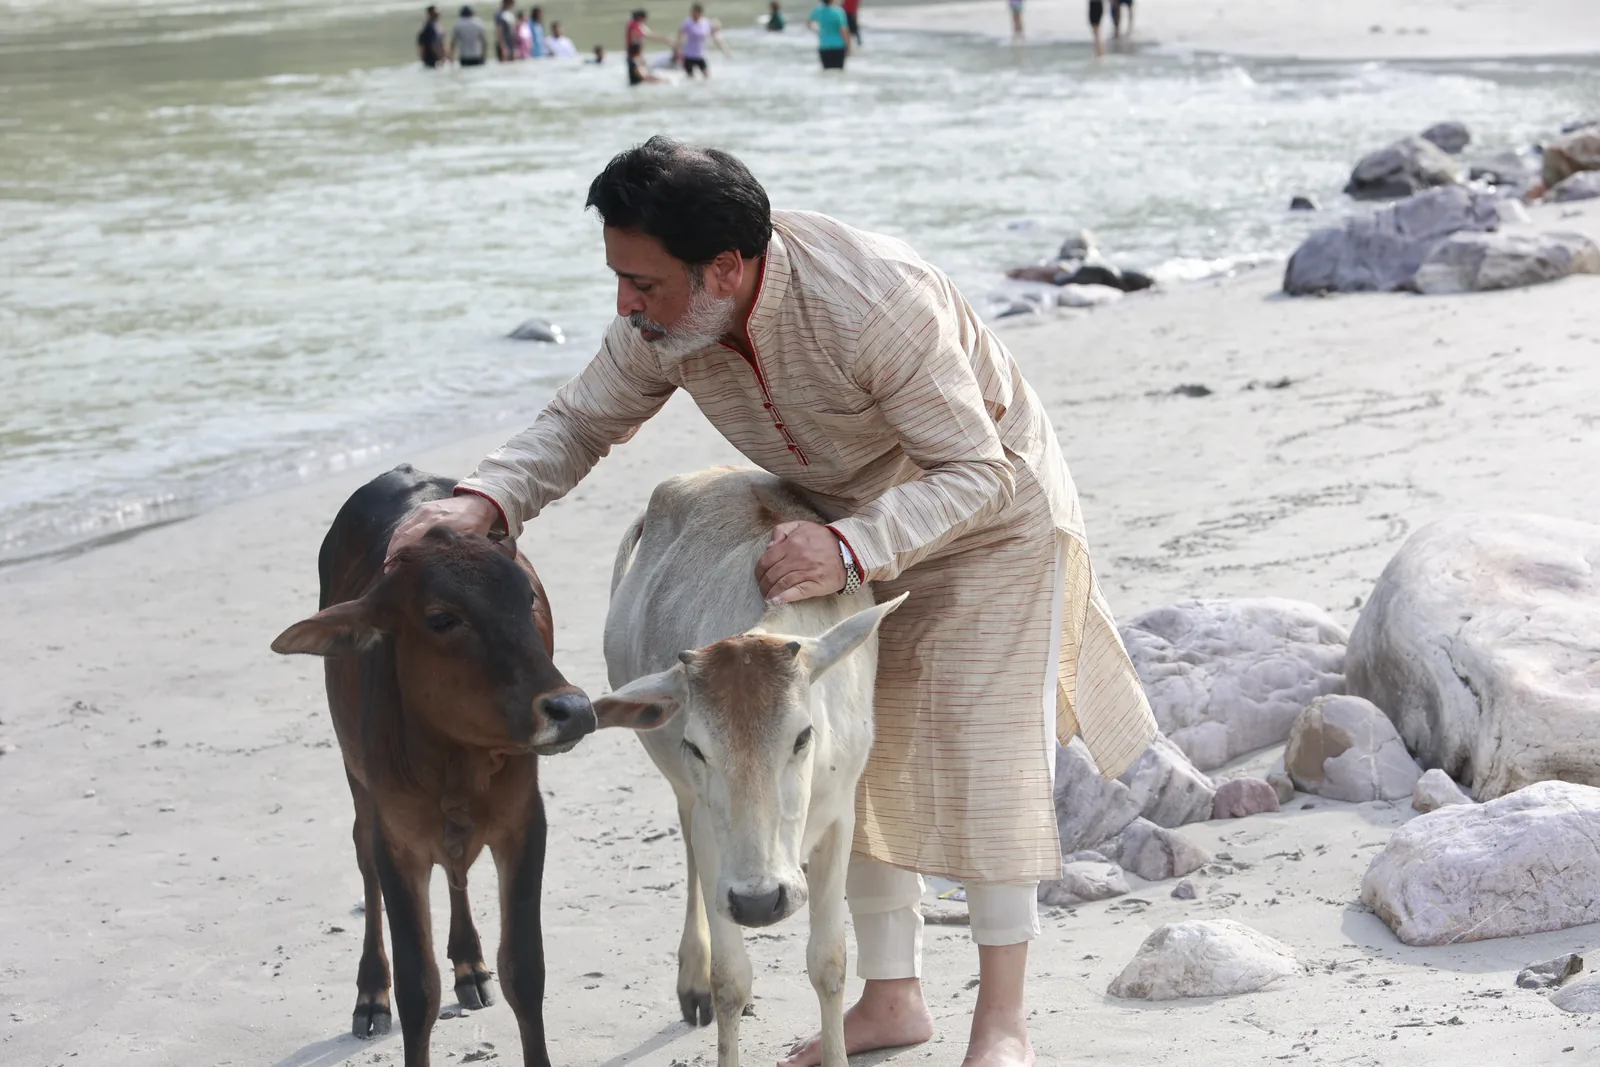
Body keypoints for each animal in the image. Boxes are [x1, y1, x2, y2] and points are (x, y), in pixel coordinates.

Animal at [270, 464, 595, 1067]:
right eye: (442, 618)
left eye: (526, 598)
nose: (573, 709)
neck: (454, 761)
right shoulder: (397, 838)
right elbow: (418, 988)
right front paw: (390, 992)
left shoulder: (523, 822)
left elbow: (525, 970)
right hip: (358, 786)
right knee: (365, 863)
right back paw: (370, 993)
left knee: (457, 874)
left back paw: (468, 963)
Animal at [594, 467, 905, 1067]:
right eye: (697, 747)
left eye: (803, 736)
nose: (760, 901)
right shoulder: (714, 832)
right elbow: (731, 980)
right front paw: (711, 983)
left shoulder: (841, 818)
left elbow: (830, 963)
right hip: (682, 795)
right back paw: (690, 977)